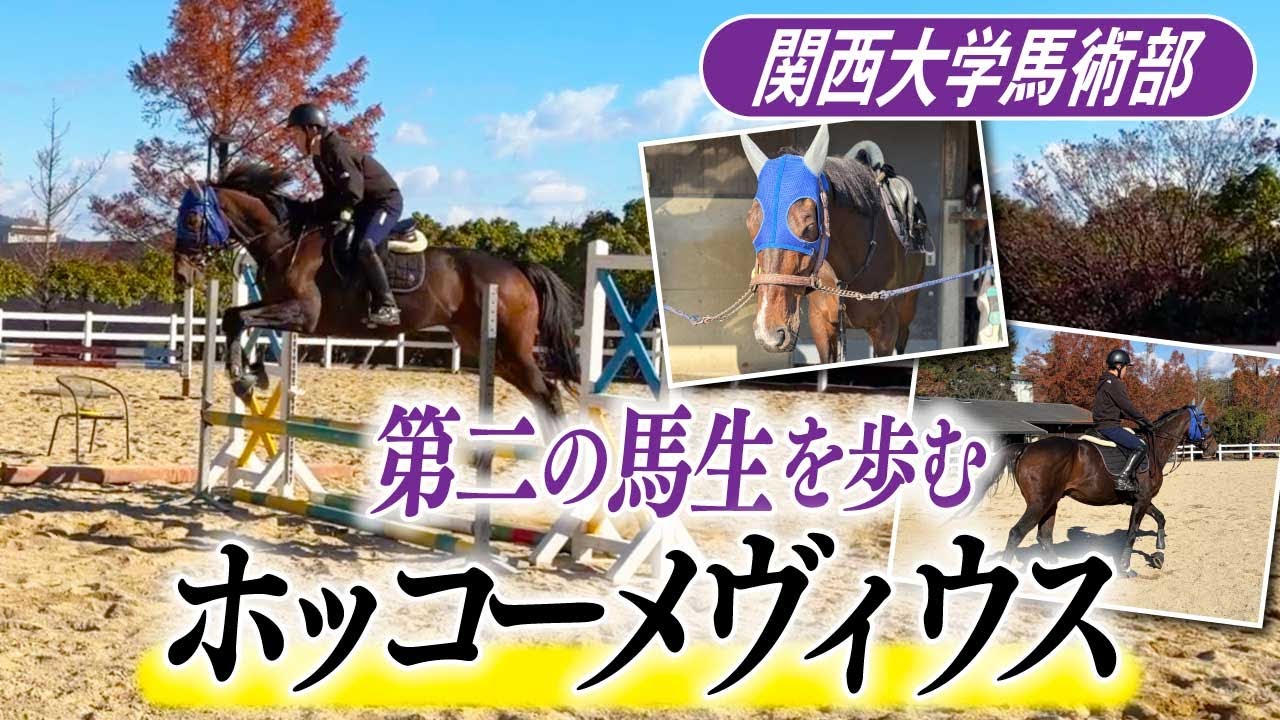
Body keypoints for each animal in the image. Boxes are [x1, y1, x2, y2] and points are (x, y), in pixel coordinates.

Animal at [172, 165, 581, 426]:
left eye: (191, 220)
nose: (181, 273)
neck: (285, 242)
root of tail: (516, 268)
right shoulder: (278, 305)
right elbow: (233, 317)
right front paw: (252, 377)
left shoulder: (302, 314)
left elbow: (241, 318)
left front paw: (244, 380)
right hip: (486, 350)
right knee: (542, 395)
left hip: (511, 347)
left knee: (548, 393)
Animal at [740, 124, 927, 360]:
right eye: (751, 223)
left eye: (809, 226)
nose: (770, 333)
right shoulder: (821, 324)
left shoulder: (886, 329)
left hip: (907, 307)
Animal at [962, 404, 1217, 576]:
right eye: (1204, 421)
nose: (1213, 449)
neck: (1154, 449)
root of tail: (1028, 447)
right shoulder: (1141, 500)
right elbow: (1132, 533)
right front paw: (1126, 568)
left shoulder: (1142, 500)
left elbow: (1161, 518)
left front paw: (1159, 552)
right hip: (1039, 504)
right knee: (1017, 533)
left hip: (1051, 503)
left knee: (1044, 536)